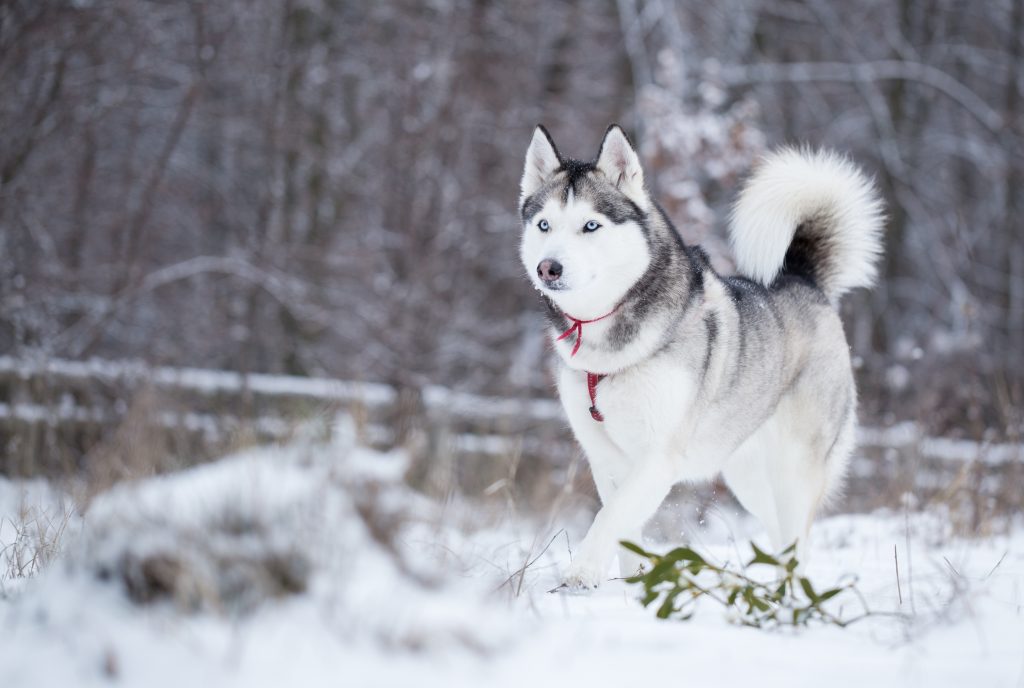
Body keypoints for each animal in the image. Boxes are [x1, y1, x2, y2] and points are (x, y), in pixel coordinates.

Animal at [516, 124, 884, 589]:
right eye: (544, 224)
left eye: (591, 225)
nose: (549, 268)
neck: (608, 346)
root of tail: (803, 280)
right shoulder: (606, 458)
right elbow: (623, 529)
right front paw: (632, 586)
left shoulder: (658, 457)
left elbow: (609, 518)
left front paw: (581, 574)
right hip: (749, 476)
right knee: (780, 534)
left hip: (795, 469)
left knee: (798, 541)